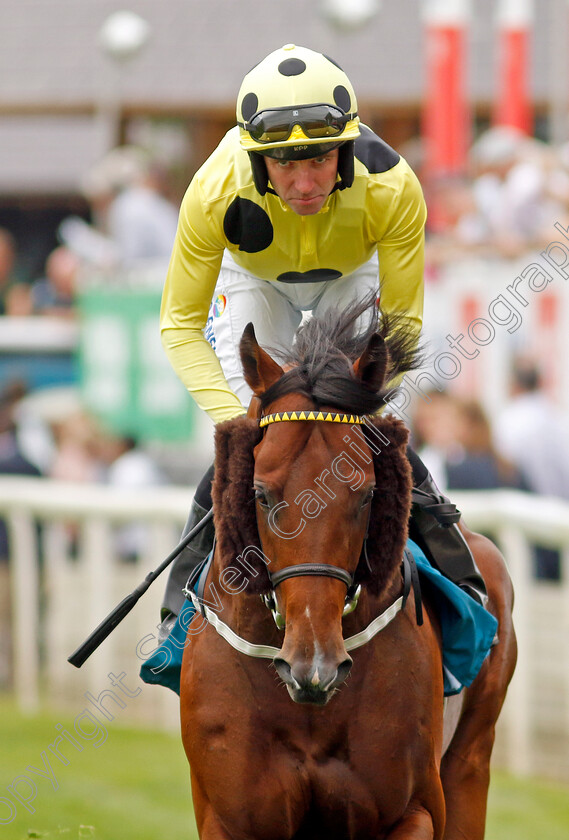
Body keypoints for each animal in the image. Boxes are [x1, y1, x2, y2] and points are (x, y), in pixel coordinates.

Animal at [180, 302, 516, 840]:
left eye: (366, 494)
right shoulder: (229, 819)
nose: (314, 667)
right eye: (260, 493)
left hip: (471, 761)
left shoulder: (412, 811)